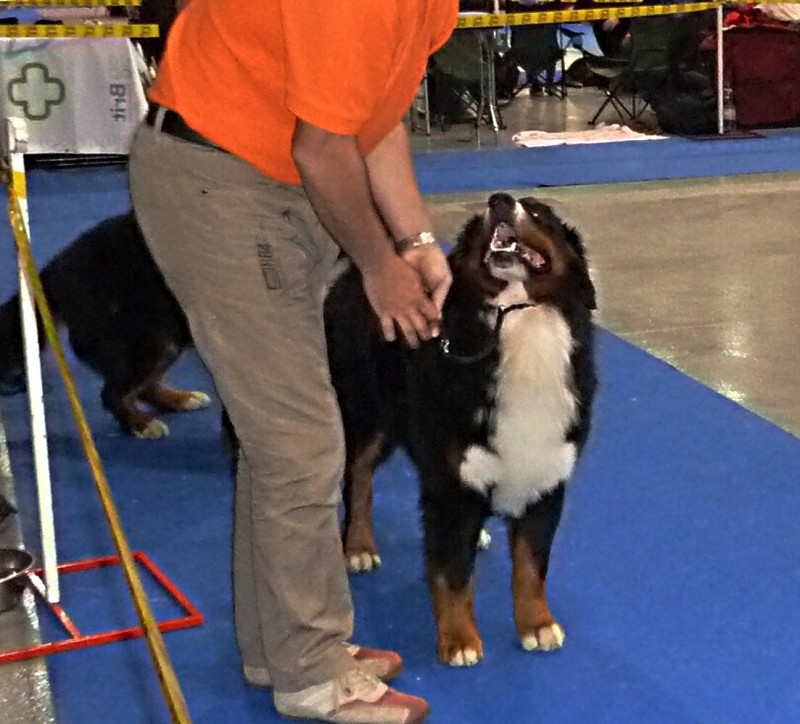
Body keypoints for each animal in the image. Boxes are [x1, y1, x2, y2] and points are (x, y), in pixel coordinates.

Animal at [0, 212, 209, 438]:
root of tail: (59, 266)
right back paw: (140, 423)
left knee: (143, 387)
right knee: (113, 393)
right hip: (152, 339)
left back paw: (180, 399)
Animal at [326, 192, 597, 666]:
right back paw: (358, 546)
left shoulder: (545, 477)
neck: (518, 322)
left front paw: (537, 624)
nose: (499, 201)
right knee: (358, 479)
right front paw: (459, 639)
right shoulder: (451, 482)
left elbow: (532, 566)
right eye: (483, 218)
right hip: (368, 415)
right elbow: (453, 572)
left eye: (537, 212)